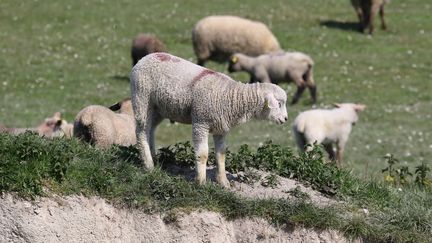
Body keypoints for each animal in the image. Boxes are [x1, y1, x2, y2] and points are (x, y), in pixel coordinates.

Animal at [130, 51, 288, 188]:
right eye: (279, 103)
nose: (286, 119)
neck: (231, 97)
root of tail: (146, 57)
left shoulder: (221, 129)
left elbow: (221, 155)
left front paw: (223, 182)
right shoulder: (201, 122)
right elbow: (203, 154)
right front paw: (201, 182)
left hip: (158, 109)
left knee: (151, 130)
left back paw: (154, 158)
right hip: (142, 98)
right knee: (141, 132)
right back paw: (149, 165)